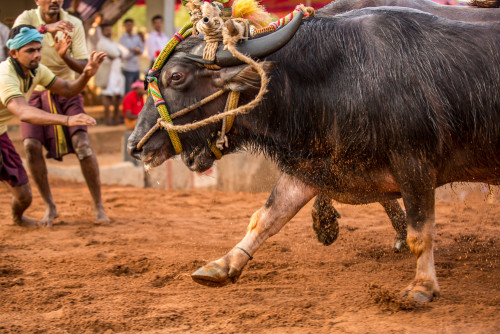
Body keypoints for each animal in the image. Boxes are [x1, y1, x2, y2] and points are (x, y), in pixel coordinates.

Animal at [129, 5, 500, 302]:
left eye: (177, 76)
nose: (134, 144)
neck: (340, 76)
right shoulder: (313, 164)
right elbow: (269, 215)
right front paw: (223, 265)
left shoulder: (415, 163)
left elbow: (420, 230)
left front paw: (422, 287)